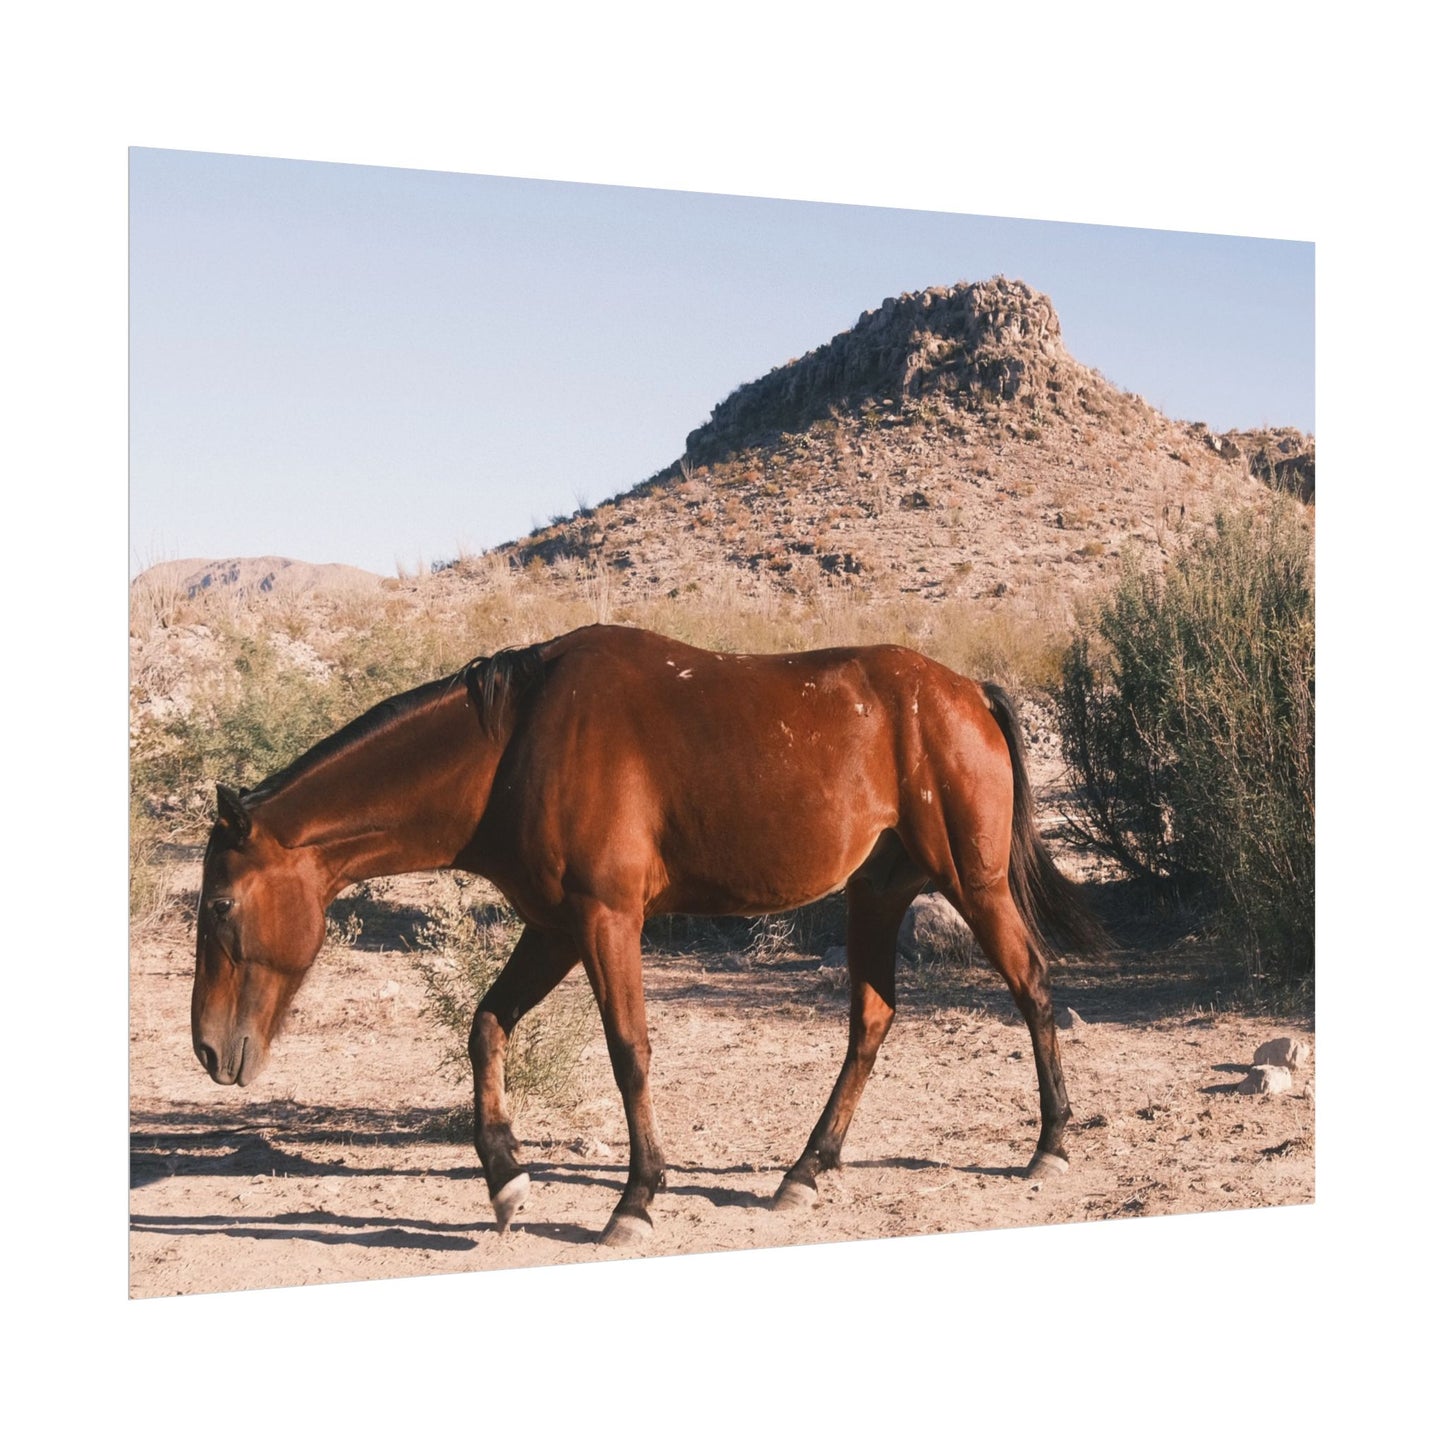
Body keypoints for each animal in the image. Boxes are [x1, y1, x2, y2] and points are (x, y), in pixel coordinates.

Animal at [192, 623, 1101, 1245]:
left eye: (220, 905)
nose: (207, 1048)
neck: (516, 745)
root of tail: (966, 690)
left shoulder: (604, 920)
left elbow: (628, 1050)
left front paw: (634, 1198)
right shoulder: (554, 927)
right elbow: (484, 1026)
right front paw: (505, 1178)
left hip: (973, 885)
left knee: (1031, 985)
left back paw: (1050, 1145)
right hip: (876, 896)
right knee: (871, 1022)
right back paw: (804, 1170)